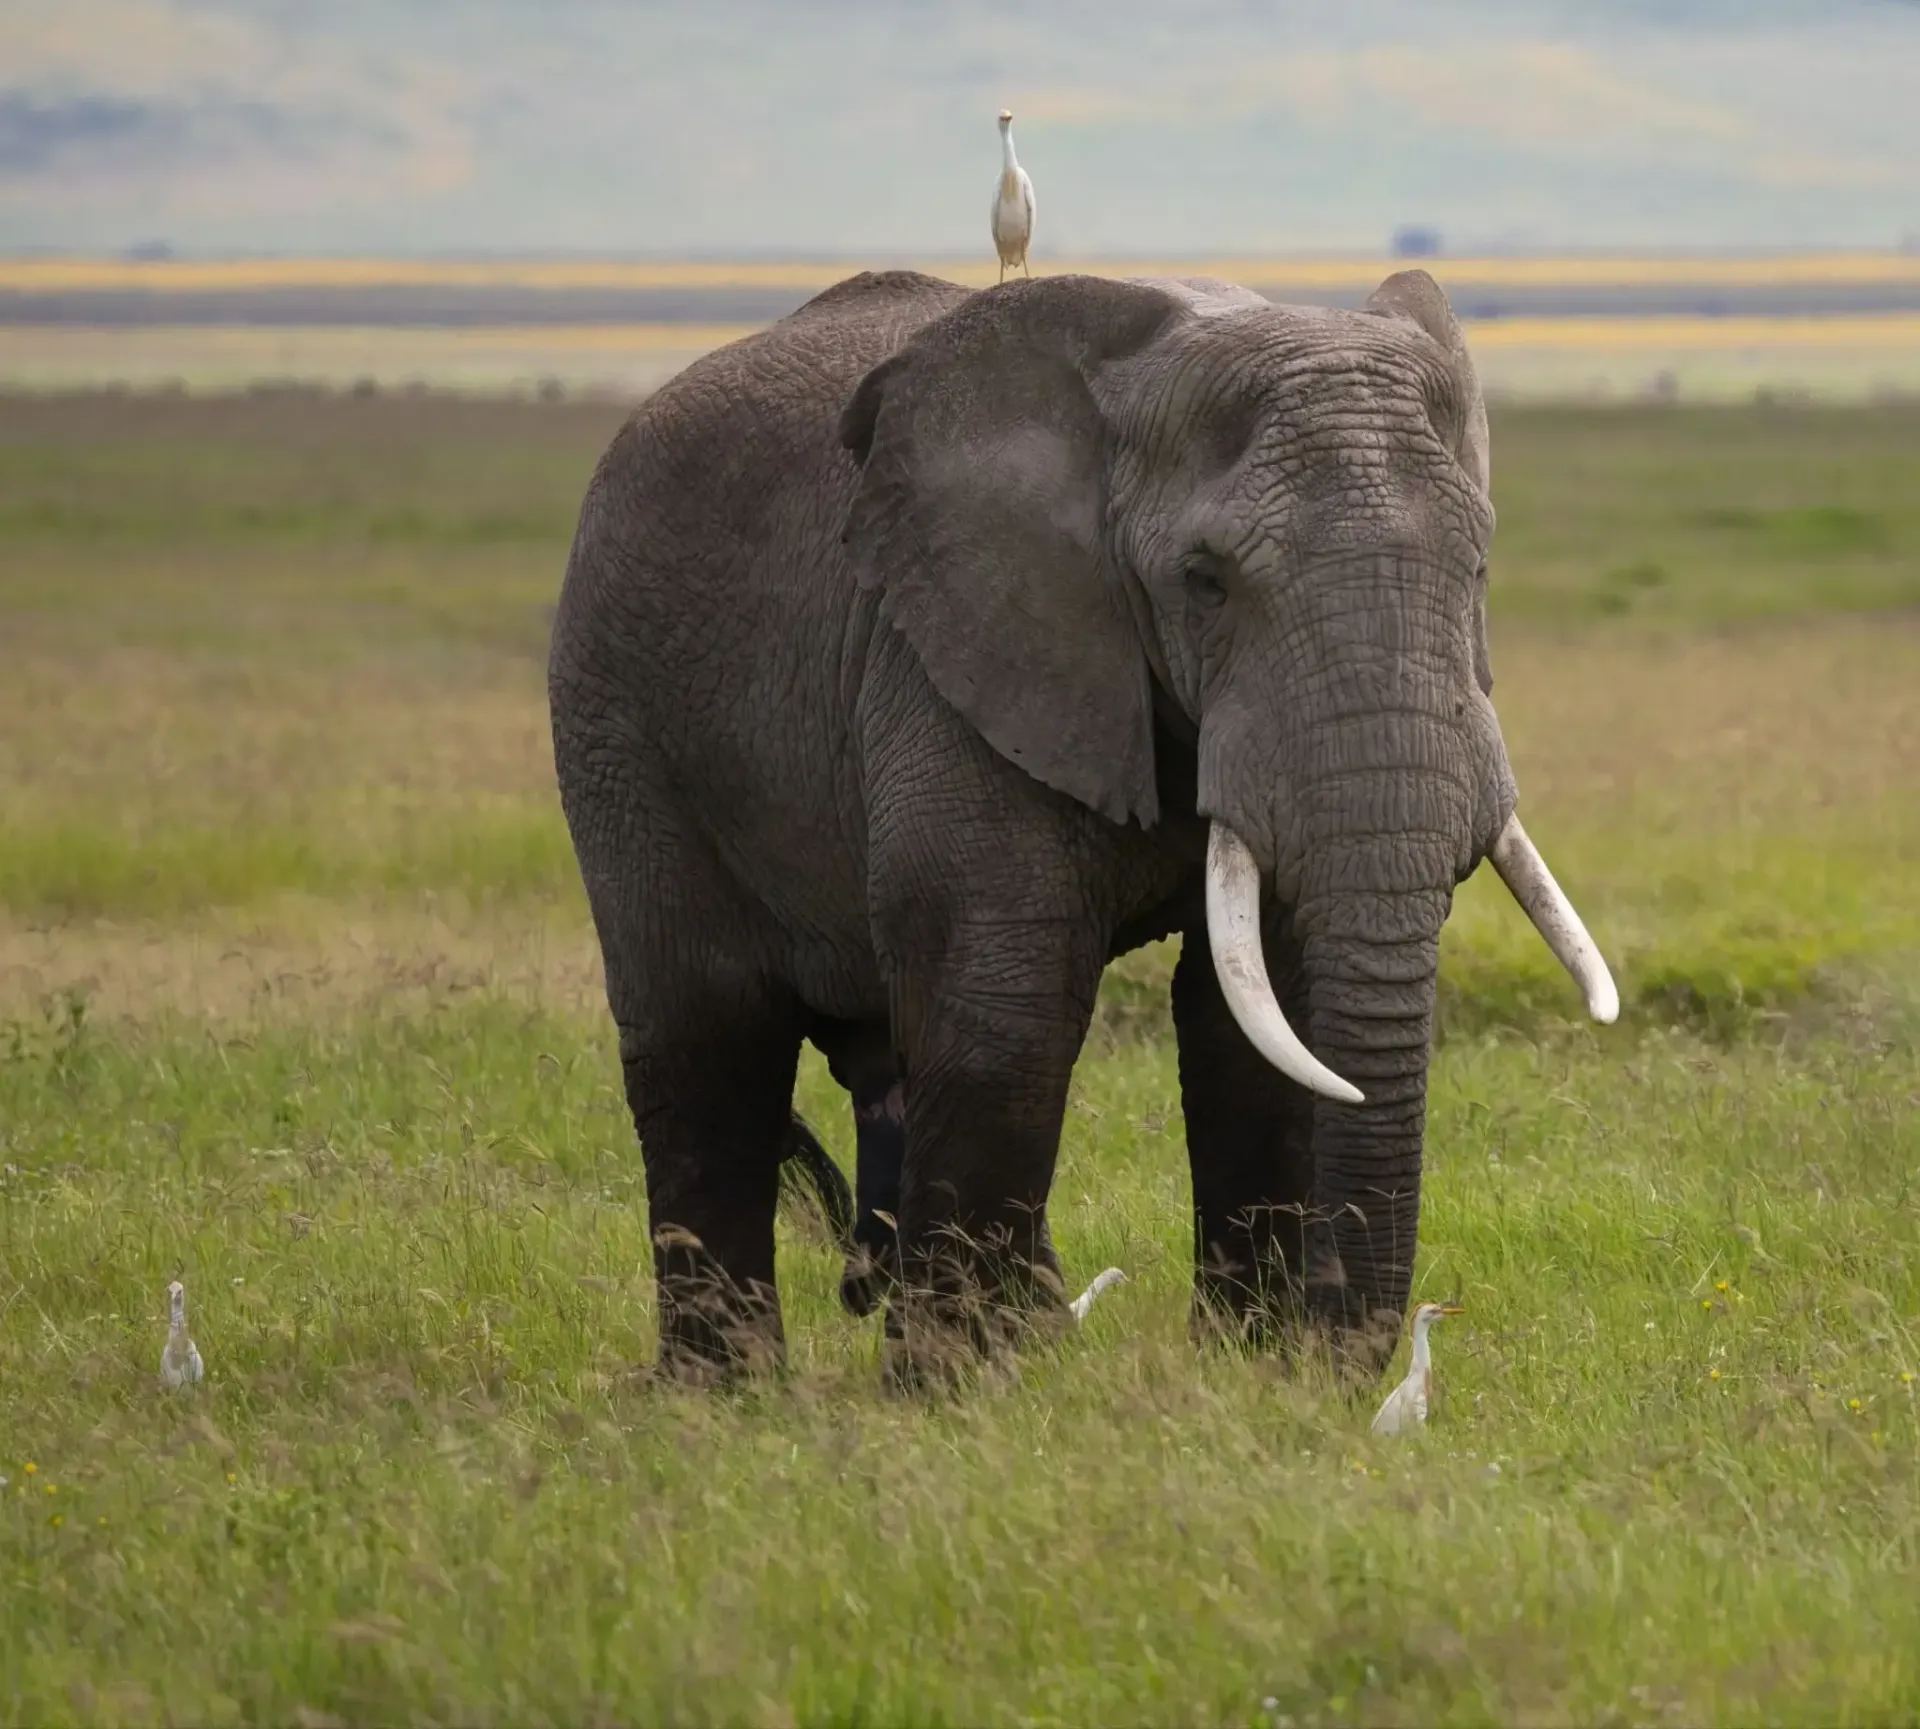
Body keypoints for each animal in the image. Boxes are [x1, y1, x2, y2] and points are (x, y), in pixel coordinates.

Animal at [547, 265, 1617, 1386]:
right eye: (1205, 581)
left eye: (1479, 568)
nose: (1348, 1359)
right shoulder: (954, 649)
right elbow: (1004, 1002)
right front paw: (954, 1399)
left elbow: (1262, 1015)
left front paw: (1248, 1372)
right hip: (616, 712)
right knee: (705, 1033)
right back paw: (731, 1398)